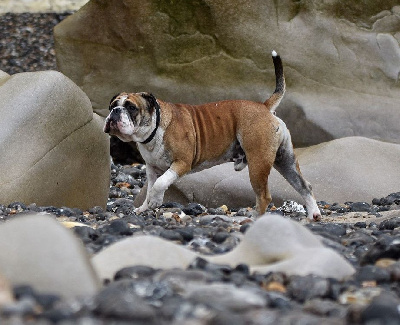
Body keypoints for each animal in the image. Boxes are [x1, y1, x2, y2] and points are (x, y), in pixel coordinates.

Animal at [104, 51, 322, 220]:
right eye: (112, 104)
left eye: (131, 107)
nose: (114, 112)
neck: (154, 130)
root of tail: (264, 107)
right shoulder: (151, 169)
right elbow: (150, 187)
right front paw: (144, 207)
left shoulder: (181, 163)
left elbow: (160, 184)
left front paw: (155, 201)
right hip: (285, 160)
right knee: (304, 186)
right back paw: (314, 214)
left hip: (258, 163)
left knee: (264, 196)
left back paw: (254, 220)